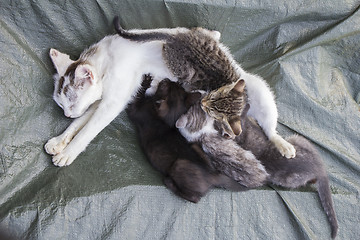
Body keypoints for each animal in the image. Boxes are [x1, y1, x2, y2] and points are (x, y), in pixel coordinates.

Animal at [45, 26, 294, 166]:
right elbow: (80, 123)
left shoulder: (113, 102)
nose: (66, 115)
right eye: (61, 105)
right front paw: (60, 141)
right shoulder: (101, 101)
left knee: (270, 129)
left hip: (261, 94)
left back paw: (283, 144)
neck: (105, 60)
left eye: (72, 103)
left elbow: (87, 130)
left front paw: (68, 153)